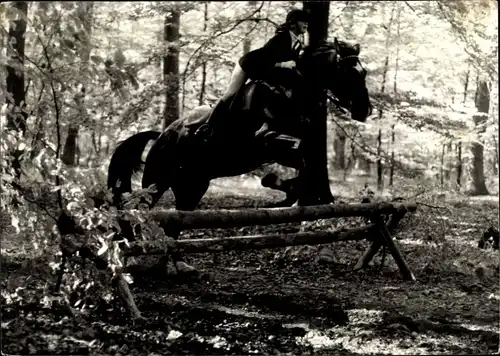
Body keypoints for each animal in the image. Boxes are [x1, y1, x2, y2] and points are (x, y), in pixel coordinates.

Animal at [107, 37, 374, 276]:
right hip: (157, 181)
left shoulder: (280, 150)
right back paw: (135, 256)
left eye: (363, 73)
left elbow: (304, 163)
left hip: (193, 186)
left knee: (176, 221)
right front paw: (284, 191)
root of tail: (161, 136)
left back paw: (177, 265)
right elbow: (296, 154)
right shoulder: (267, 142)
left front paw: (285, 191)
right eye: (350, 72)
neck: (288, 92)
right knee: (136, 209)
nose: (365, 111)